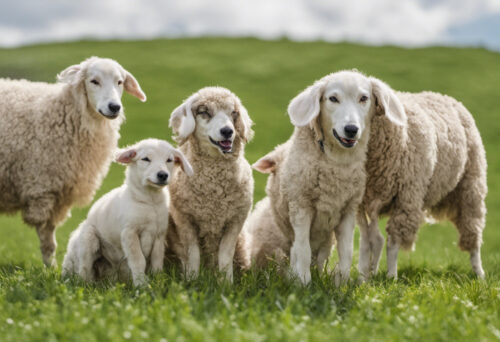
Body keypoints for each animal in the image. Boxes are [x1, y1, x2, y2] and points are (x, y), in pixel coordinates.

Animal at [63, 139, 192, 286]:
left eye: (169, 160)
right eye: (145, 159)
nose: (163, 175)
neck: (150, 202)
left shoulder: (159, 235)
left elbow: (157, 261)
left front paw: (157, 281)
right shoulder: (129, 232)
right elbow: (138, 260)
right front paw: (141, 284)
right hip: (88, 238)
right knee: (84, 270)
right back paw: (86, 284)